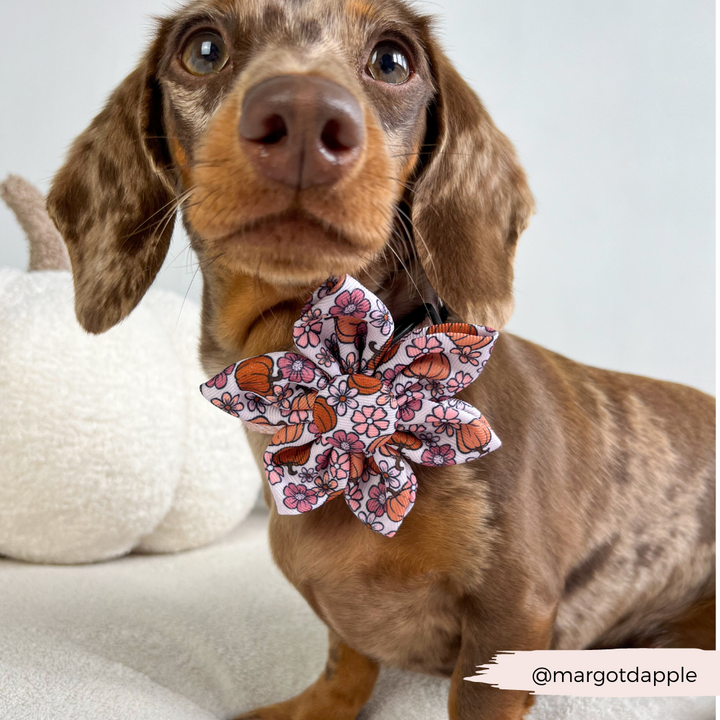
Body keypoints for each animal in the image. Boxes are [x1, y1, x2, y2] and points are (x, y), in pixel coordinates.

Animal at [46, 1, 716, 720]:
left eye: (393, 60)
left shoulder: (513, 609)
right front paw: (314, 704)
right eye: (202, 48)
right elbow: (347, 663)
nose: (304, 115)